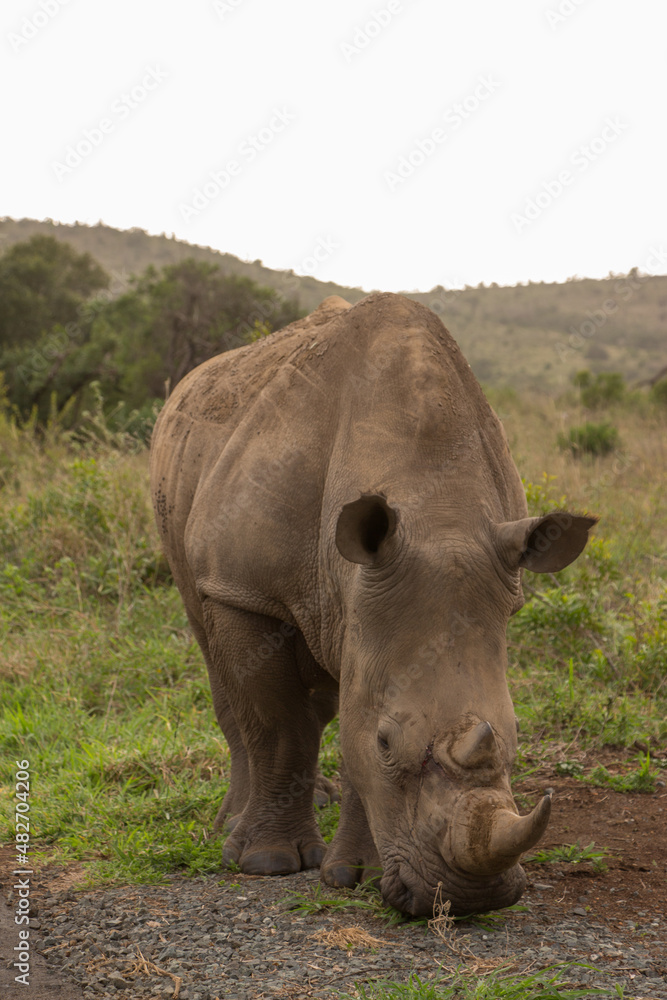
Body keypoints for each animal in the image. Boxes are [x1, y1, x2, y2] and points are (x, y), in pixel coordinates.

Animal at [150, 292, 597, 917]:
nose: (470, 899)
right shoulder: (245, 589)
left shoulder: (367, 601)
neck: (437, 507)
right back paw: (232, 829)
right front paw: (268, 864)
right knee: (219, 660)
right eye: (389, 742)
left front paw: (354, 875)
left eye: (515, 734)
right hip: (196, 529)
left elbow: (350, 719)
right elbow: (278, 724)